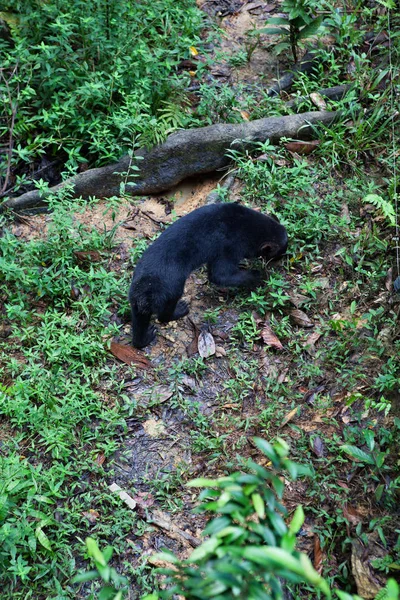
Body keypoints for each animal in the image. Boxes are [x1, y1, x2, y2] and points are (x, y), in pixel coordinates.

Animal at [130, 204, 290, 350]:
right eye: (279, 254)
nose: (280, 261)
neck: (248, 225)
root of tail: (145, 293)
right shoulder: (231, 246)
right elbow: (220, 274)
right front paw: (258, 276)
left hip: (135, 296)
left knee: (139, 321)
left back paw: (145, 338)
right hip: (171, 288)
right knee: (165, 311)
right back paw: (180, 309)